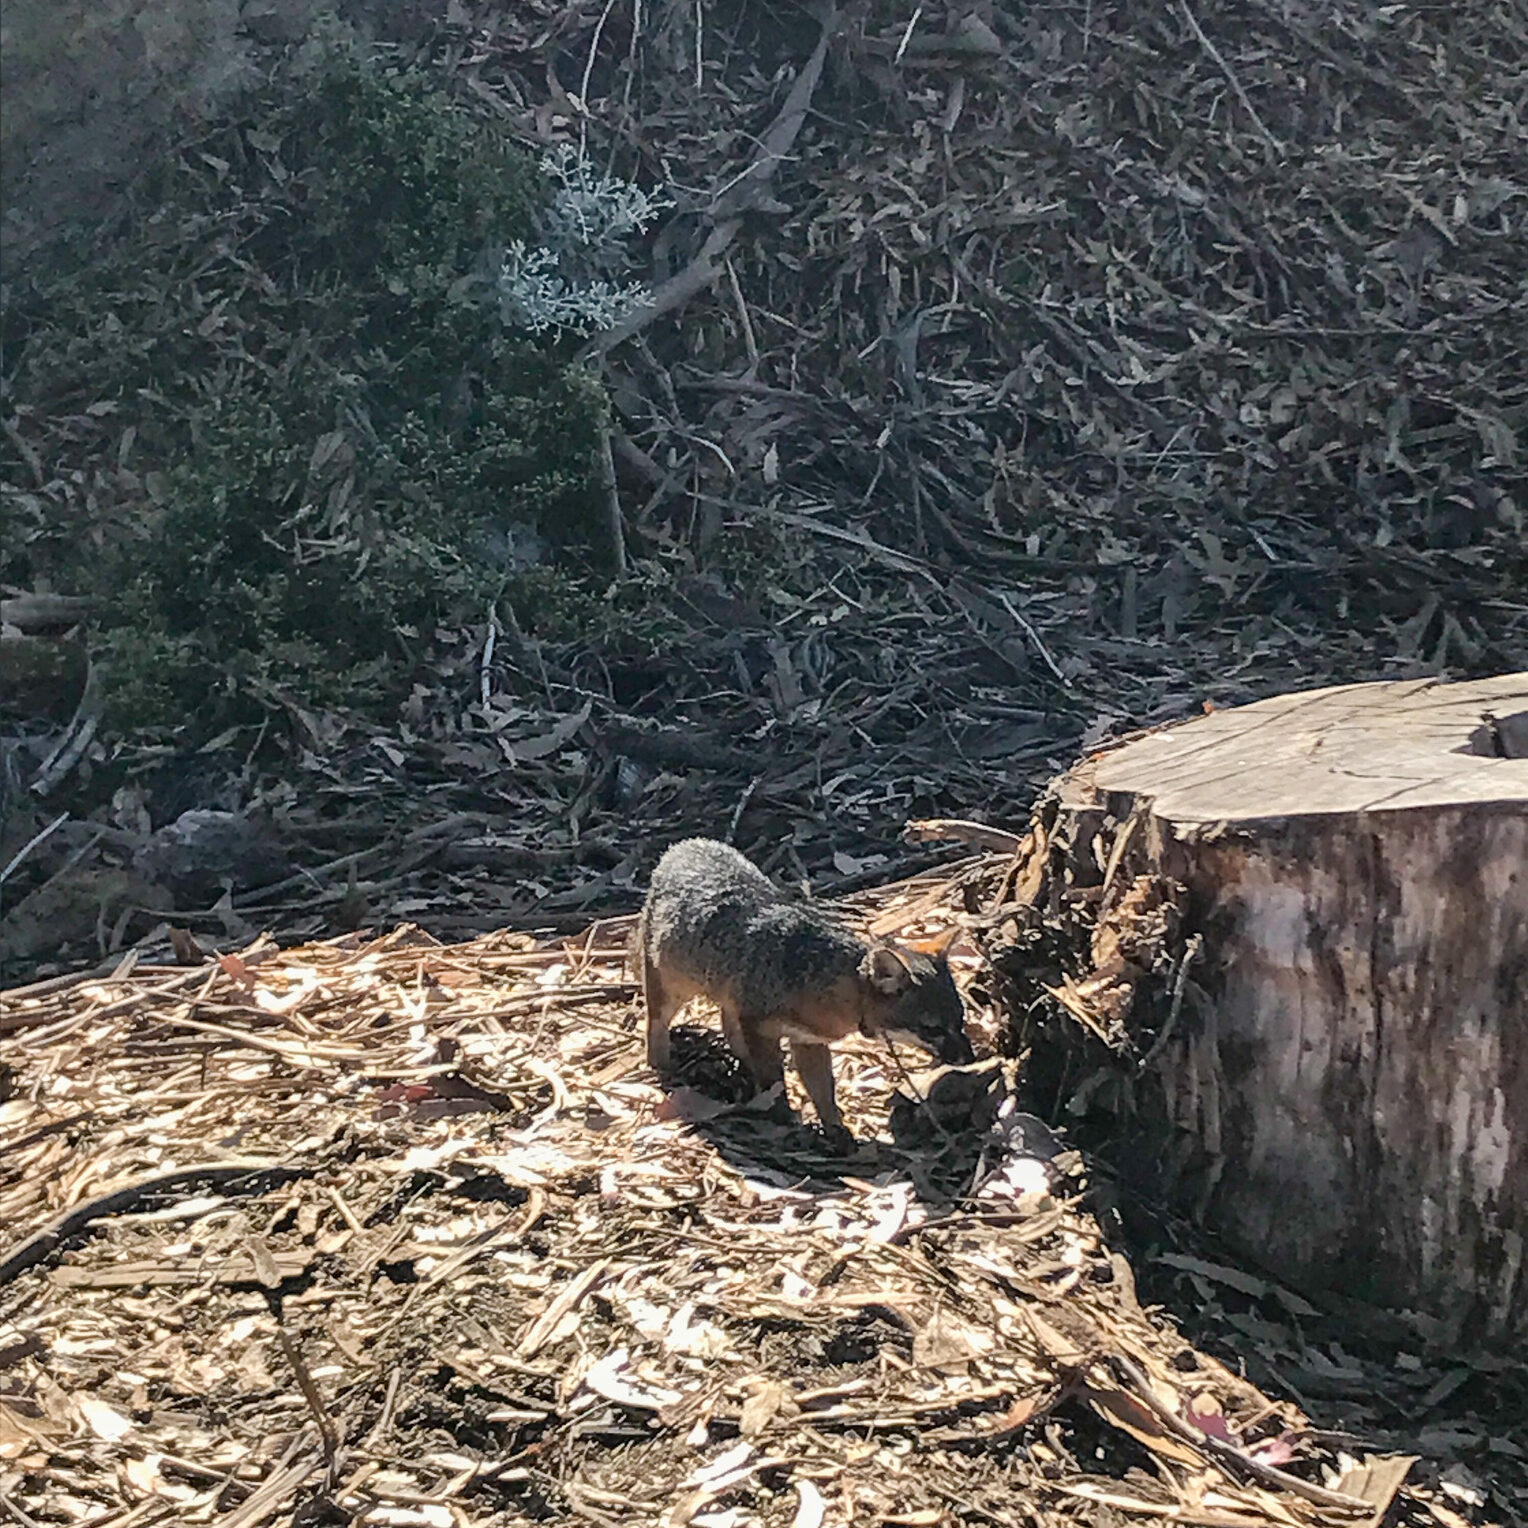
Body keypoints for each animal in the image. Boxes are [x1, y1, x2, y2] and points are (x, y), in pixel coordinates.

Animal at [635, 838, 973, 1132]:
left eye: (961, 1019)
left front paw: (836, 1130)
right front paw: (783, 1116)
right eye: (932, 1029)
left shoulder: (808, 1039)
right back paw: (661, 1067)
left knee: (728, 1025)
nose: (969, 1058)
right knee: (656, 1023)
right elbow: (775, 1082)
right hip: (672, 988)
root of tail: (682, 846)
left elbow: (823, 1091)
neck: (821, 979)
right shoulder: (760, 1027)